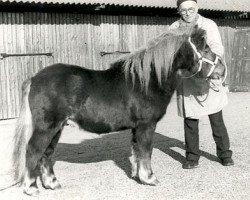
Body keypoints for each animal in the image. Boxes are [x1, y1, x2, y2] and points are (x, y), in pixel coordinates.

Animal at [12, 27, 226, 195]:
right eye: (205, 49)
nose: (222, 69)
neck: (146, 81)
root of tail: (34, 78)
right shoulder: (146, 125)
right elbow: (146, 151)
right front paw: (150, 178)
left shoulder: (136, 127)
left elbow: (137, 151)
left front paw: (139, 176)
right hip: (46, 127)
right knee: (33, 151)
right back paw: (31, 188)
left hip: (57, 127)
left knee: (47, 154)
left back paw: (52, 184)